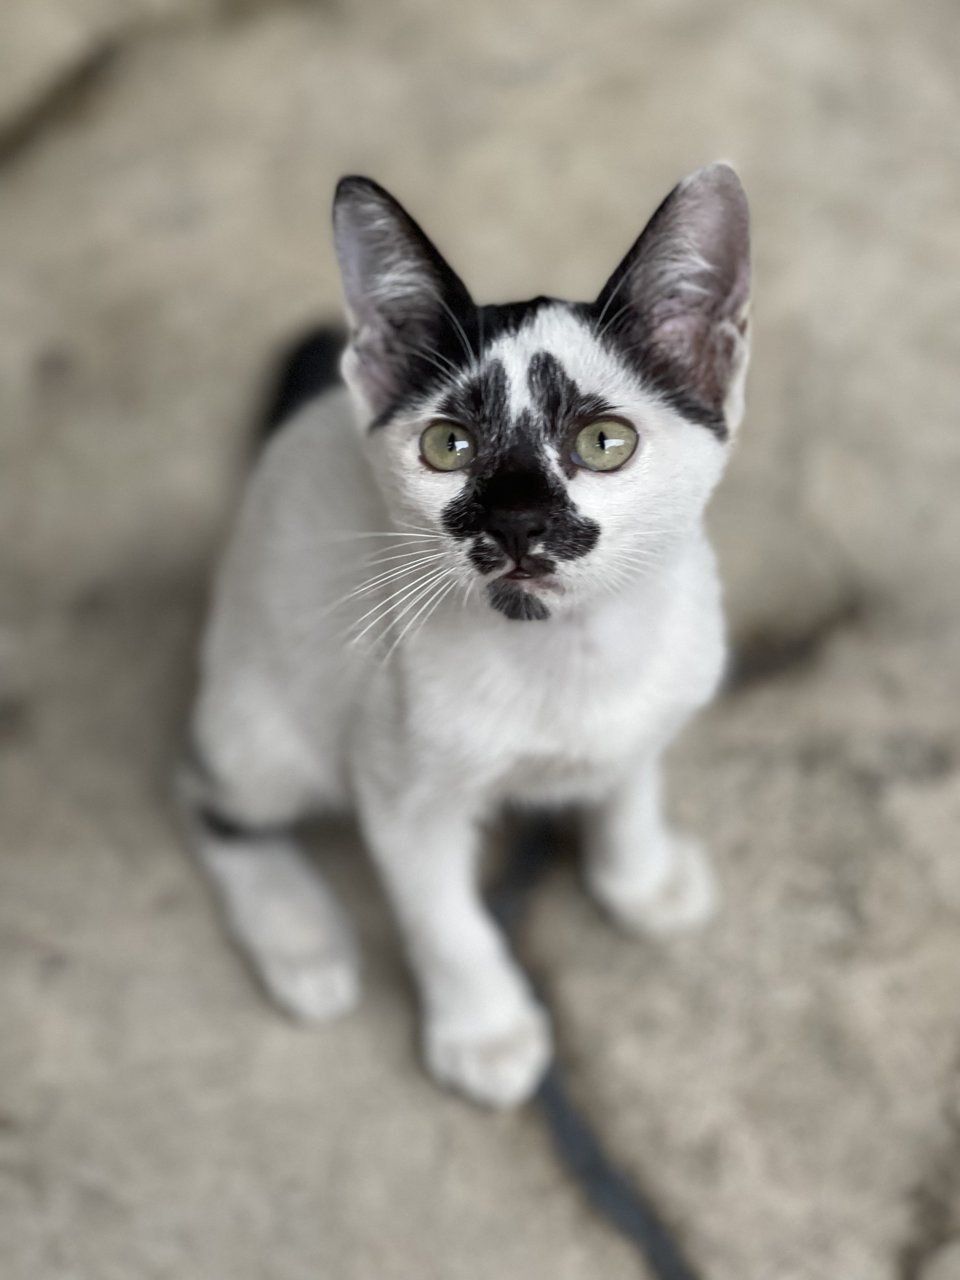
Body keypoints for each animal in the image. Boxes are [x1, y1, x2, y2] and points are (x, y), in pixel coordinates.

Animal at [179, 165, 752, 1111]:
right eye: (448, 445)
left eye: (605, 441)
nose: (518, 523)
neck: (566, 656)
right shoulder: (397, 787)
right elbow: (444, 919)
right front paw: (485, 1033)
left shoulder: (653, 706)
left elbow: (631, 780)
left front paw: (641, 881)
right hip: (262, 725)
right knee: (205, 795)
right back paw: (302, 938)